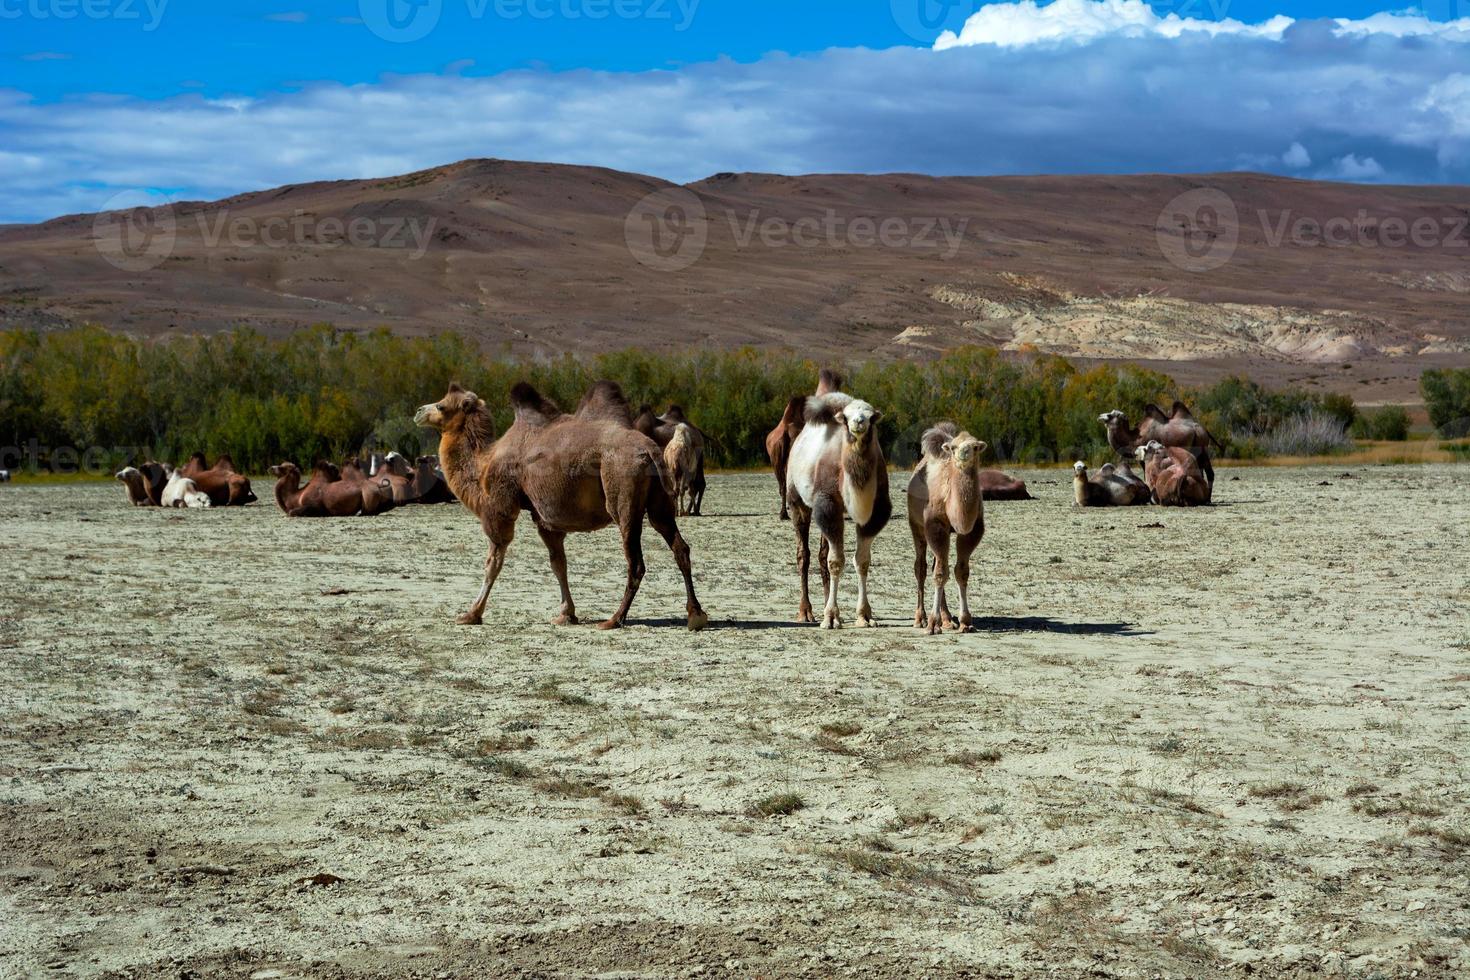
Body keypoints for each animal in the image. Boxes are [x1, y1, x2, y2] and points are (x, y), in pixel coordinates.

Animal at [414, 379, 711, 631]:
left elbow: (493, 562)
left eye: (441, 405)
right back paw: (695, 614)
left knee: (635, 560)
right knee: (680, 547)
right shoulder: (542, 516)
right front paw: (566, 614)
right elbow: (559, 563)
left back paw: (614, 619)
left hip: (622, 493)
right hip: (660, 501)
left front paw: (471, 614)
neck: (484, 461)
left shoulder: (500, 508)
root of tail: (650, 451)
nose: (418, 411)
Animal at [787, 382, 887, 628]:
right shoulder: (828, 504)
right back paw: (806, 612)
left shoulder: (875, 511)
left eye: (871, 417)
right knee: (804, 554)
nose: (858, 422)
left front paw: (864, 615)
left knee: (822, 553)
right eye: (846, 417)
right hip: (797, 500)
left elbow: (862, 561)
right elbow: (836, 561)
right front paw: (830, 617)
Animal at [905, 423, 987, 637]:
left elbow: (961, 572)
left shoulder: (972, 530)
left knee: (937, 563)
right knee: (921, 567)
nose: (964, 454)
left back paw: (948, 619)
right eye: (953, 447)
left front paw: (966, 622)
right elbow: (940, 574)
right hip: (916, 525)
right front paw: (932, 624)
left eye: (975, 447)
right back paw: (920, 619)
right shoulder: (935, 526)